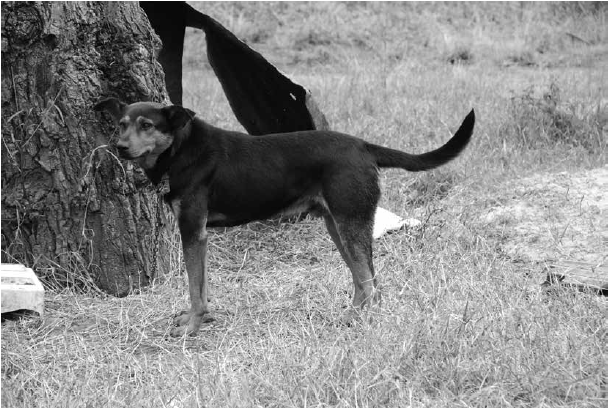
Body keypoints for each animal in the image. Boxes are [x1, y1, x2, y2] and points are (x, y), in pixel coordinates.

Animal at [95, 99, 476, 334]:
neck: (180, 149)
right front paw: (197, 320)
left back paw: (359, 321)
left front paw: (192, 327)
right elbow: (200, 286)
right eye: (121, 124)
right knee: (363, 280)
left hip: (350, 222)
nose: (119, 148)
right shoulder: (197, 235)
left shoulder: (193, 230)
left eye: (147, 124)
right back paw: (351, 315)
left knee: (370, 284)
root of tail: (364, 146)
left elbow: (193, 287)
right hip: (338, 224)